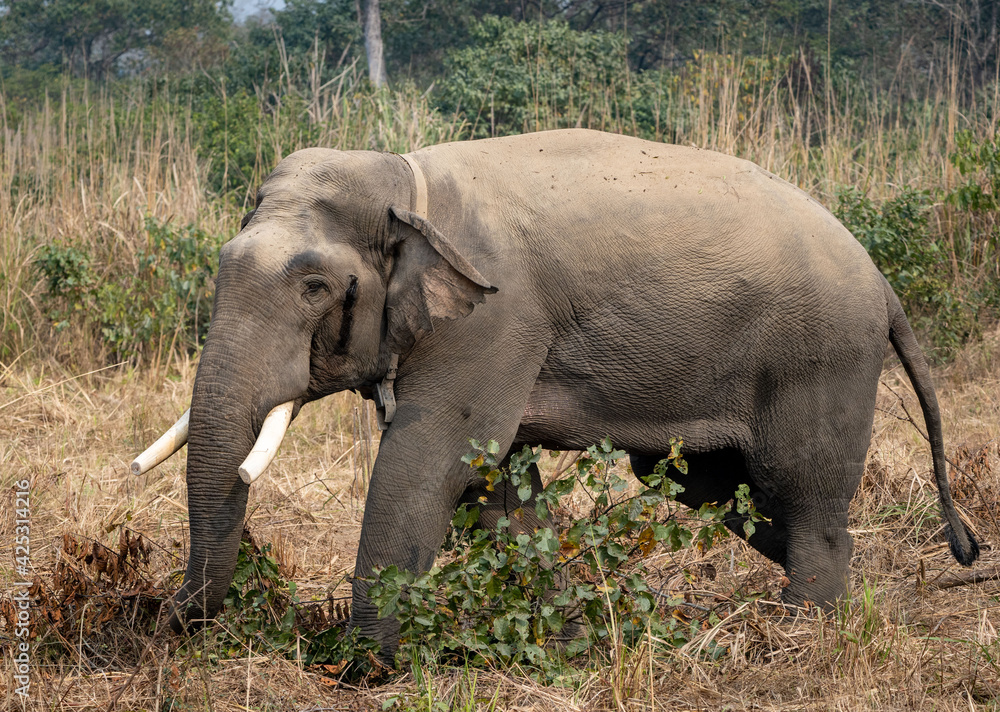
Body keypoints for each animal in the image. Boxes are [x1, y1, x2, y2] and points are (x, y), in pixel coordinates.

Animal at [133, 128, 978, 661]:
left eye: (313, 287)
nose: (168, 617)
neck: (407, 179)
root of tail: (882, 282)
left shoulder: (496, 317)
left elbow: (431, 457)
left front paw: (362, 665)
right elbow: (490, 479)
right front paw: (568, 638)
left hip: (821, 358)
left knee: (803, 495)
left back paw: (806, 634)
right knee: (725, 493)